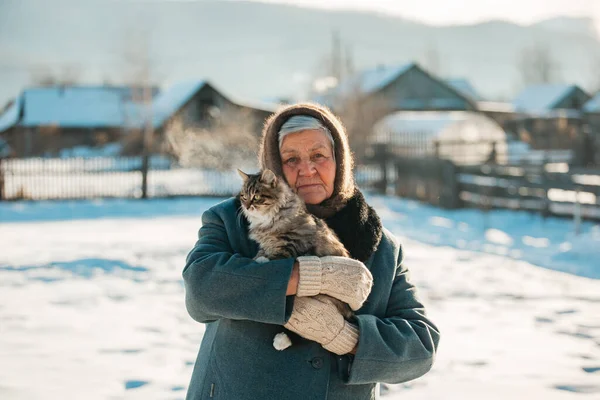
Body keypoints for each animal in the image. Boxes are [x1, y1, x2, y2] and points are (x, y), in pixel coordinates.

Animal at [237, 169, 354, 350]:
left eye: (256, 196)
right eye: (243, 196)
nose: (247, 207)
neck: (268, 220)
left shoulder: (291, 246)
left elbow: (274, 257)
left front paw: (262, 261)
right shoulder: (266, 245)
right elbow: (260, 253)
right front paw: (257, 258)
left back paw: (282, 340)